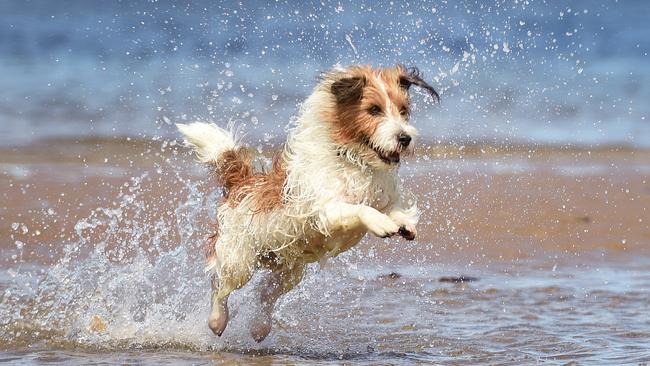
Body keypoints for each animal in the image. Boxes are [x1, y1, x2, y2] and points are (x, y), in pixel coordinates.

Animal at [177, 64, 438, 342]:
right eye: (374, 110)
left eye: (403, 110)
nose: (405, 138)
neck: (354, 161)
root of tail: (243, 182)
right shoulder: (326, 210)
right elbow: (360, 208)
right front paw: (380, 222)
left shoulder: (383, 195)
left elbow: (394, 207)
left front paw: (405, 223)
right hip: (240, 261)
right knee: (219, 284)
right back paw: (217, 320)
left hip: (288, 270)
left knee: (264, 294)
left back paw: (259, 326)